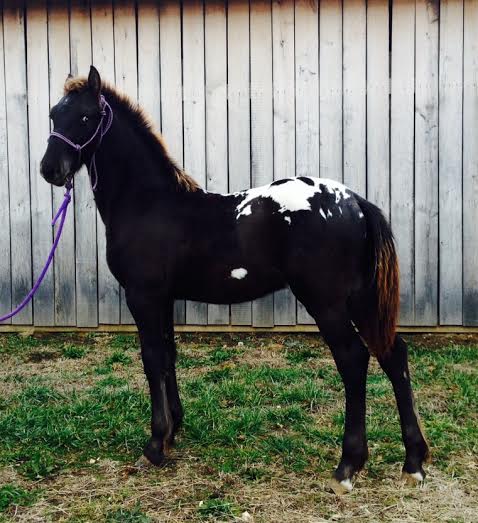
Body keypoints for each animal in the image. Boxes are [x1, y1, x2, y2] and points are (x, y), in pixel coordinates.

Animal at [40, 67, 430, 494]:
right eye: (53, 115)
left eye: (85, 117)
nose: (50, 170)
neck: (149, 204)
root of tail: (356, 202)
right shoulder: (165, 298)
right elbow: (168, 356)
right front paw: (174, 430)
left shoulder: (143, 296)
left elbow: (151, 358)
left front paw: (155, 445)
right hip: (360, 298)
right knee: (394, 355)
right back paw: (413, 462)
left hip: (326, 302)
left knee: (353, 359)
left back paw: (347, 466)